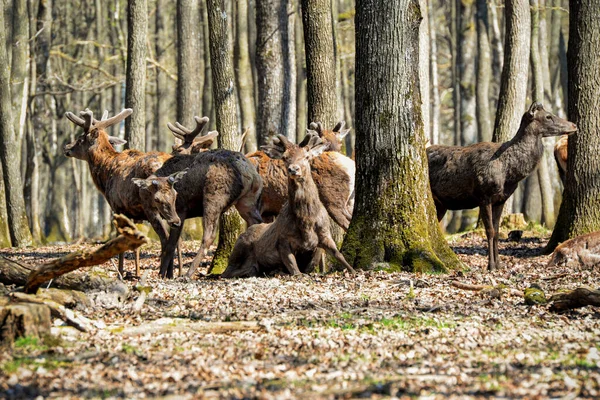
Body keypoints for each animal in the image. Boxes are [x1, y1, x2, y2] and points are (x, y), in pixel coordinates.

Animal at [134, 148, 262, 280]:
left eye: (175, 195)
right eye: (157, 199)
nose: (175, 221)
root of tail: (250, 173)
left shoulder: (181, 209)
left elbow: (171, 245)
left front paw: (162, 274)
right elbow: (170, 243)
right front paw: (167, 274)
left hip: (213, 198)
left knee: (209, 235)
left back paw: (188, 274)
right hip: (247, 201)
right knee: (257, 222)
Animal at [221, 134, 356, 278]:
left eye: (306, 157)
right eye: (284, 157)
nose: (293, 169)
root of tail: (351, 165)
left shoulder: (254, 207)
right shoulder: (267, 212)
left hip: (335, 201)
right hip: (348, 202)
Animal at [426, 103, 576, 272]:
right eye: (548, 116)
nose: (574, 125)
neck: (509, 173)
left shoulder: (501, 199)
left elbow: (497, 231)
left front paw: (498, 264)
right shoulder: (484, 196)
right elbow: (490, 231)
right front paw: (490, 265)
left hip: (441, 205)